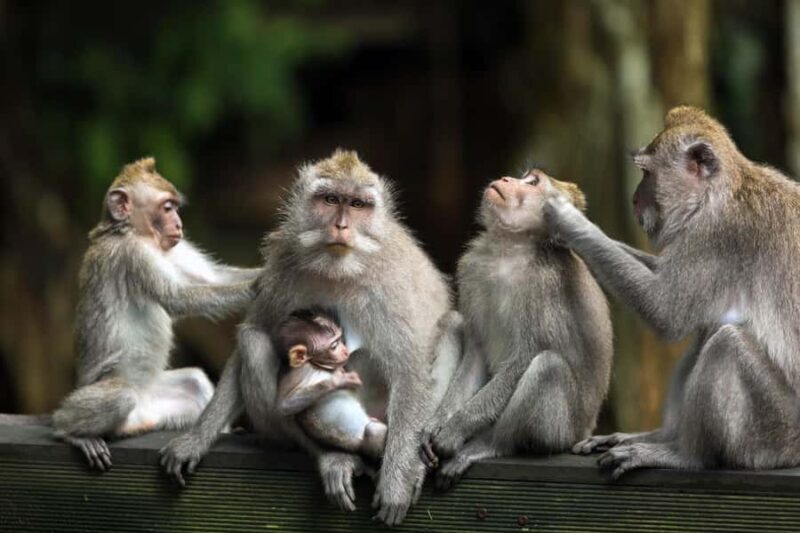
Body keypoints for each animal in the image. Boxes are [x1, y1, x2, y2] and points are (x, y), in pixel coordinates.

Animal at [50, 157, 260, 470]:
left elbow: (212, 278)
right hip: (97, 395)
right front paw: (259, 286)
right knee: (116, 398)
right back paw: (72, 432)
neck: (130, 231)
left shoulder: (169, 247)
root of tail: (141, 415)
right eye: (166, 207)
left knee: (194, 381)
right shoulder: (133, 254)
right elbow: (177, 299)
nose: (179, 224)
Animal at [275, 309, 387, 460]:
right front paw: (339, 380)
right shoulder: (298, 372)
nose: (345, 351)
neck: (316, 365)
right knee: (373, 430)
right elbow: (284, 406)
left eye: (340, 339)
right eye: (334, 346)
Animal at [420, 170, 613, 490]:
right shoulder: (473, 269)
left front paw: (453, 431)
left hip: (562, 430)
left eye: (532, 182)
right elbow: (477, 352)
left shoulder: (543, 286)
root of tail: (584, 431)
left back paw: (491, 444)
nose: (506, 178)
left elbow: (523, 359)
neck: (509, 251)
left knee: (548, 366)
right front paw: (436, 424)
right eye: (525, 177)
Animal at [545, 106, 800, 478]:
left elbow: (666, 312)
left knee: (726, 343)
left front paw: (568, 220)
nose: (635, 198)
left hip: (776, 434)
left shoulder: (717, 235)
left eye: (647, 174)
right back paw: (663, 436)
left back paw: (686, 456)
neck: (720, 191)